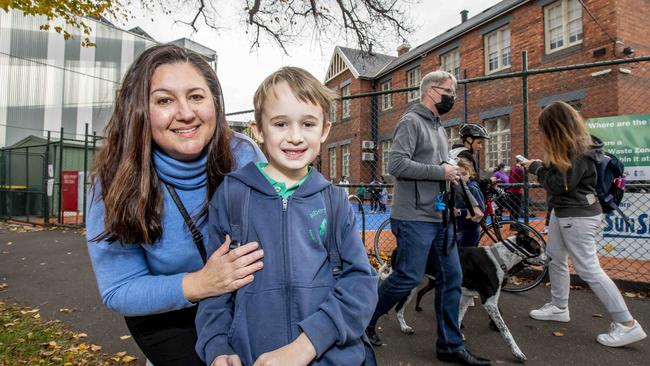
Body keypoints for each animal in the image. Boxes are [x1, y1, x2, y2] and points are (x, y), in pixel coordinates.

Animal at [374, 233, 540, 362]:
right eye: (538, 248)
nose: (547, 257)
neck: (498, 258)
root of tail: (396, 249)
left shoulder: (466, 297)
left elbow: (458, 317)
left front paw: (455, 341)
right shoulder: (489, 302)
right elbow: (506, 332)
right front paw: (517, 352)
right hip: (409, 283)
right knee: (397, 306)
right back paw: (400, 326)